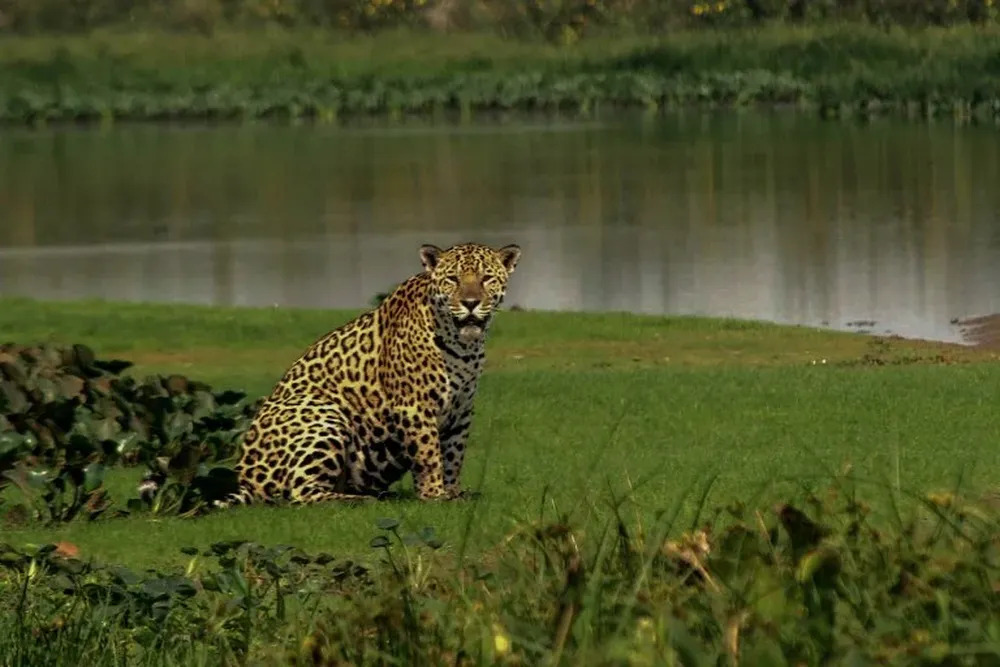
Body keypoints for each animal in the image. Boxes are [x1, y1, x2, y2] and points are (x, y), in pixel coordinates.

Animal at [216, 241, 522, 508]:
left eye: (486, 279)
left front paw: (454, 493)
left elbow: (453, 456)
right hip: (323, 412)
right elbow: (429, 454)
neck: (463, 346)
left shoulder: (462, 410)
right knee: (300, 493)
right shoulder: (415, 406)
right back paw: (360, 499)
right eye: (453, 279)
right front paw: (434, 495)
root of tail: (245, 481)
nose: (471, 302)